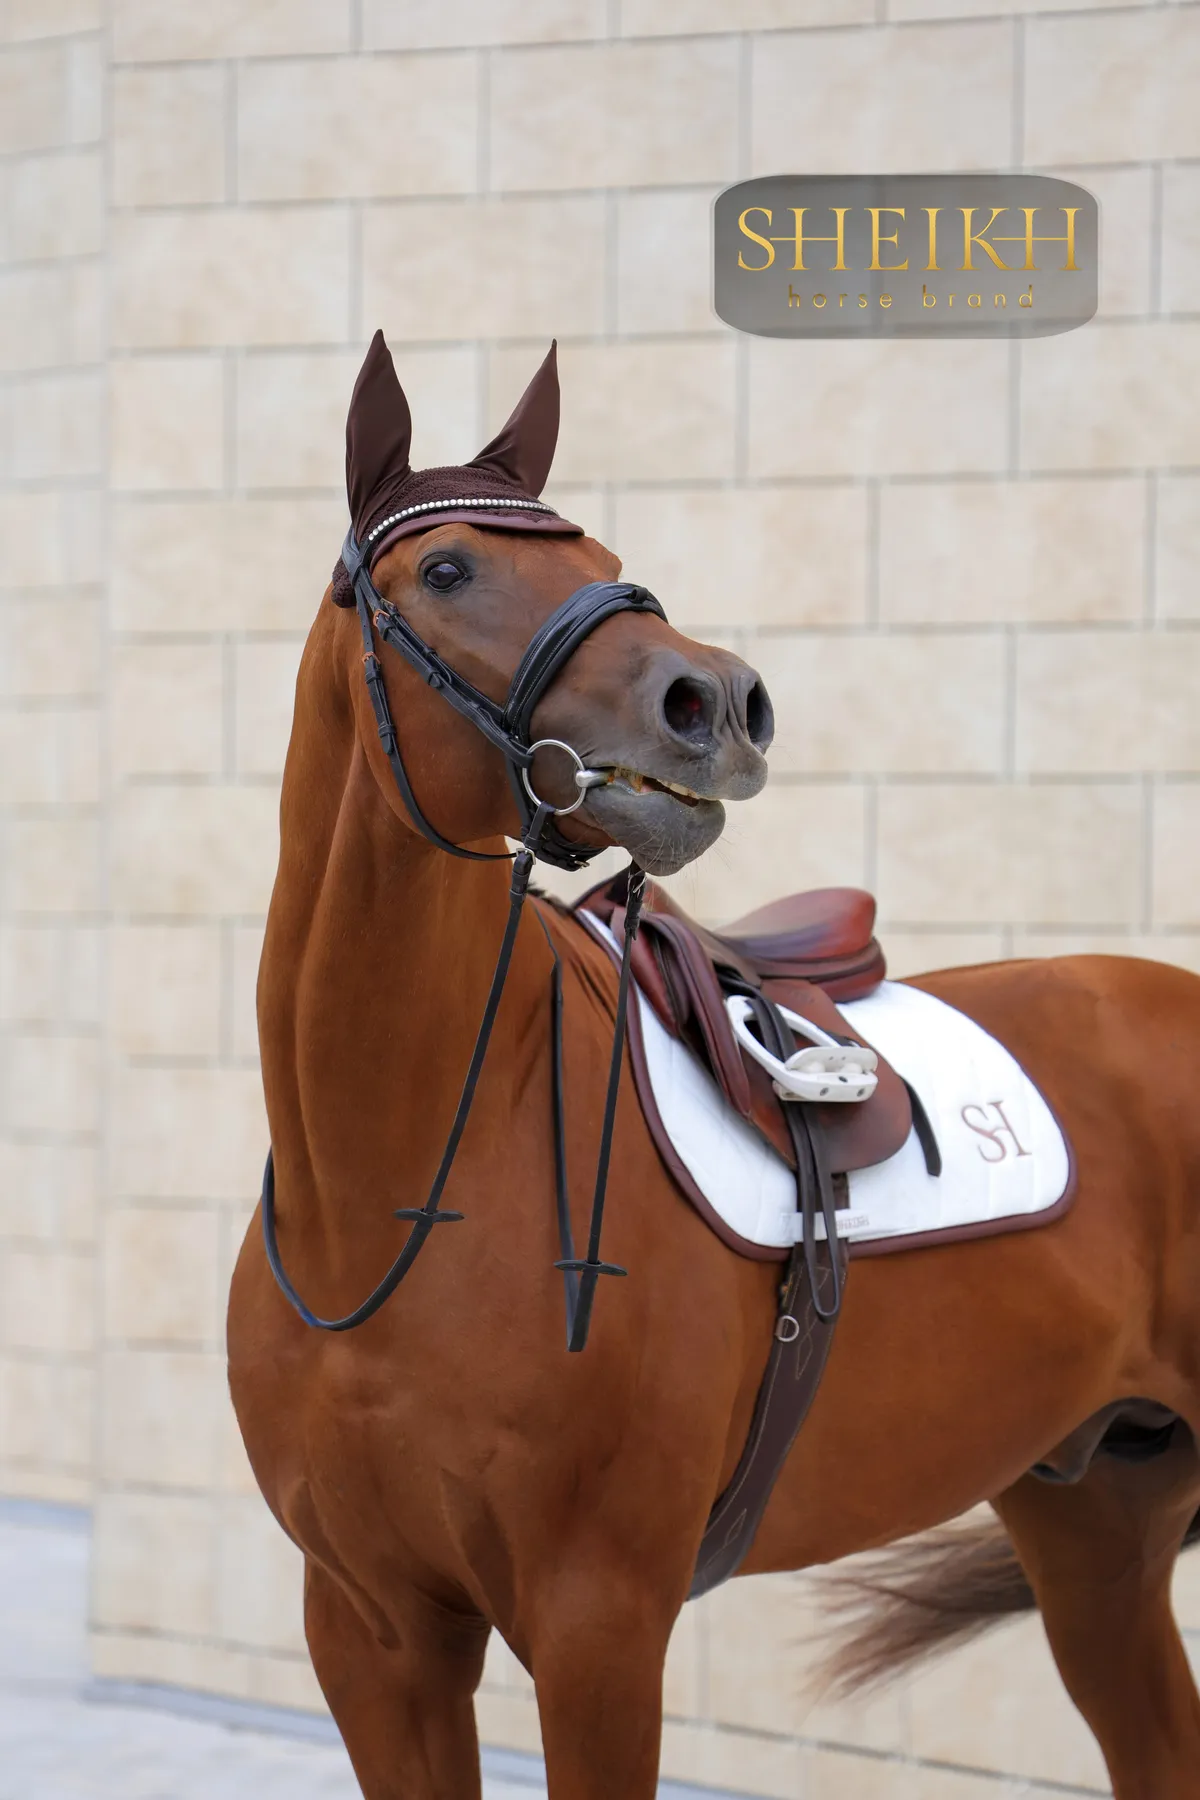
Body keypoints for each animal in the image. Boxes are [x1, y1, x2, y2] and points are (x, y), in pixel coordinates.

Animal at [228, 338, 1200, 1800]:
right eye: (446, 569)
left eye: (606, 553)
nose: (722, 704)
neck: (392, 1204)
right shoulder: (373, 1633)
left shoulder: (599, 1629)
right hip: (1096, 1516)